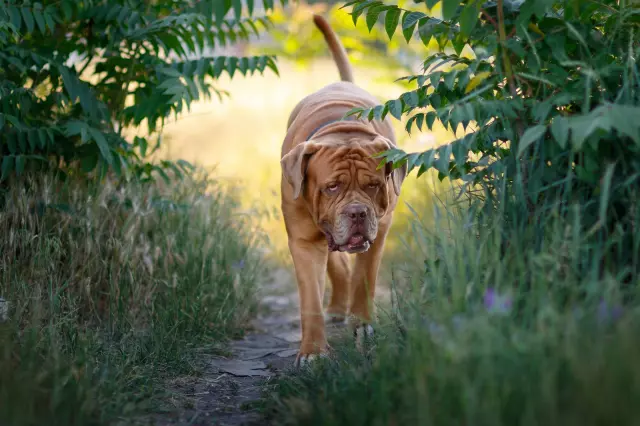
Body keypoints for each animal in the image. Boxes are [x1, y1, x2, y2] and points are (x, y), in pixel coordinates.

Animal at [278, 13, 404, 366]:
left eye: (373, 185)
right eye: (331, 187)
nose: (357, 212)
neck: (342, 131)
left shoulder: (380, 228)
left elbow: (365, 277)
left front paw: (361, 324)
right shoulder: (303, 240)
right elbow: (310, 299)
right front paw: (313, 352)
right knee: (334, 262)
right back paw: (335, 306)